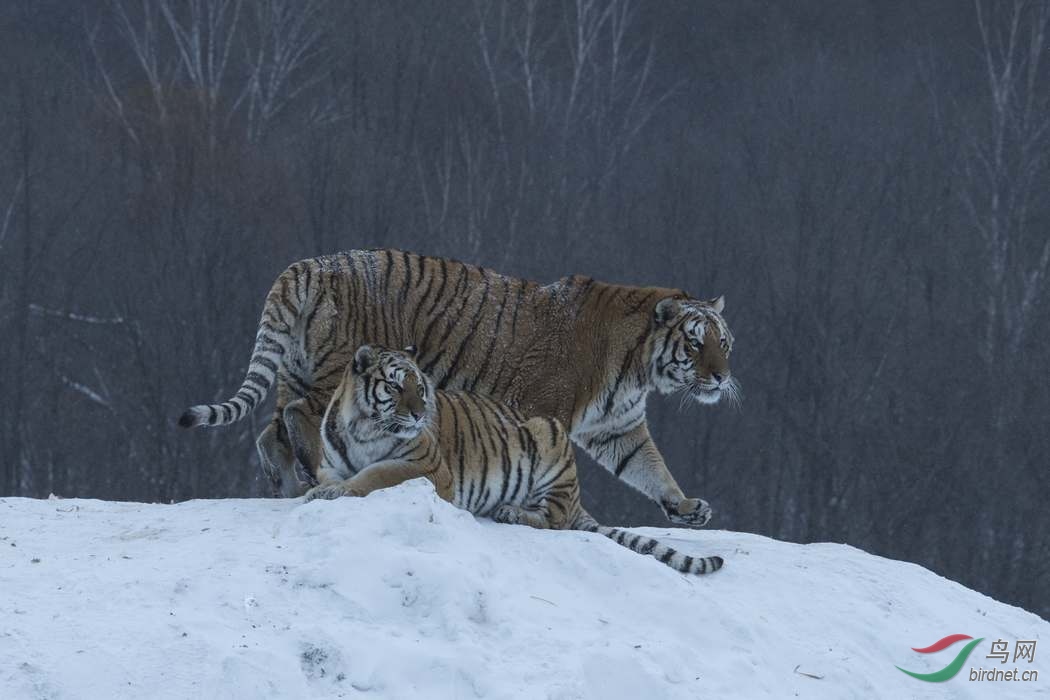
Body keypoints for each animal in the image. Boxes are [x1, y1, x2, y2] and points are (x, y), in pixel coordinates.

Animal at [178, 249, 738, 527]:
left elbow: (651, 468)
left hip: (295, 370)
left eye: (724, 342)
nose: (721, 376)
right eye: (695, 344)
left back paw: (288, 486)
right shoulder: (542, 410)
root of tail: (306, 265)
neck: (639, 367)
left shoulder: (618, 428)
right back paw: (311, 477)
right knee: (300, 418)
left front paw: (686, 507)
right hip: (335, 372)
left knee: (267, 433)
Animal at [305, 344, 725, 575]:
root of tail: (578, 499)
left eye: (419, 387)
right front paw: (319, 491)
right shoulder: (329, 463)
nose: (419, 414)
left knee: (554, 520)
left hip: (548, 437)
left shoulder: (426, 467)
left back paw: (511, 512)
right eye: (394, 386)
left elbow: (375, 475)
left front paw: (336, 493)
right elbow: (333, 476)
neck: (362, 429)